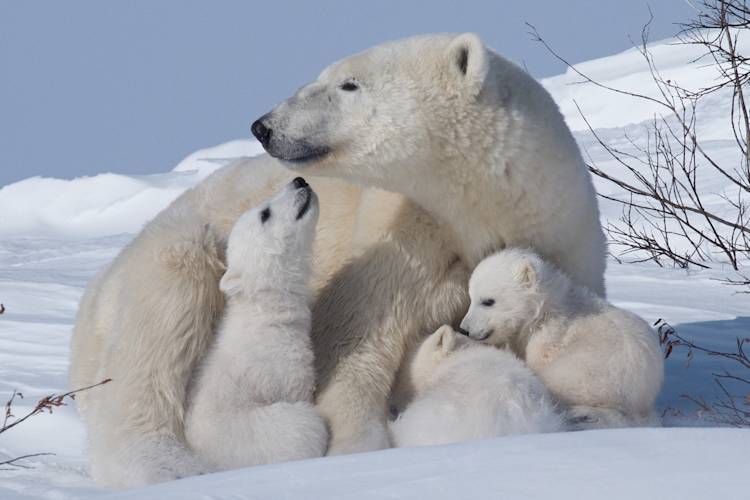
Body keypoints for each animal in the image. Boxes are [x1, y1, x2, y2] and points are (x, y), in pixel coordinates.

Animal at [70, 31, 608, 484]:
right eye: (327, 74)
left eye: (349, 84)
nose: (264, 125)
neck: (481, 211)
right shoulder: (401, 239)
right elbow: (353, 337)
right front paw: (354, 448)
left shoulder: (560, 240)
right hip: (166, 257)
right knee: (159, 327)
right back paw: (163, 464)